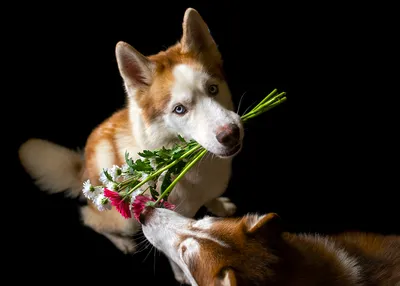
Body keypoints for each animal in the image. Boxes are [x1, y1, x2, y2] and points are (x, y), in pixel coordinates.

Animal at [18, 7, 244, 284]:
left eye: (213, 89)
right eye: (179, 109)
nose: (231, 134)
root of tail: (83, 169)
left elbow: (210, 197)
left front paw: (218, 205)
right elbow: (168, 245)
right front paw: (180, 272)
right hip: (122, 220)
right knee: (90, 219)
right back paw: (121, 242)